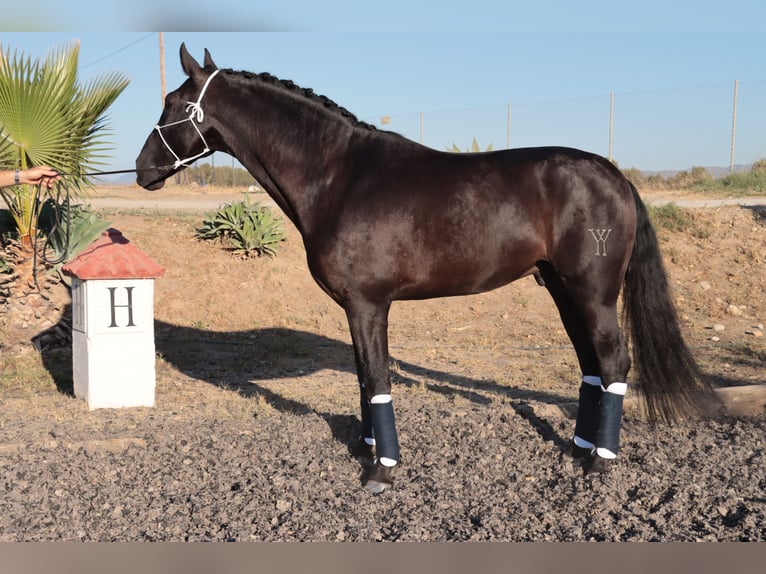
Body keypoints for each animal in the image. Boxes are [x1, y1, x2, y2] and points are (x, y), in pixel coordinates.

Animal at [135, 46, 716, 496]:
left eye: (176, 104)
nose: (142, 171)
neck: (338, 176)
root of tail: (615, 175)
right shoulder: (358, 309)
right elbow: (363, 377)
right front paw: (367, 449)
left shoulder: (369, 304)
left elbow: (376, 377)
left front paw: (382, 470)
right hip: (561, 288)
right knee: (592, 365)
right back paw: (578, 447)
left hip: (592, 292)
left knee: (614, 362)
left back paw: (600, 461)